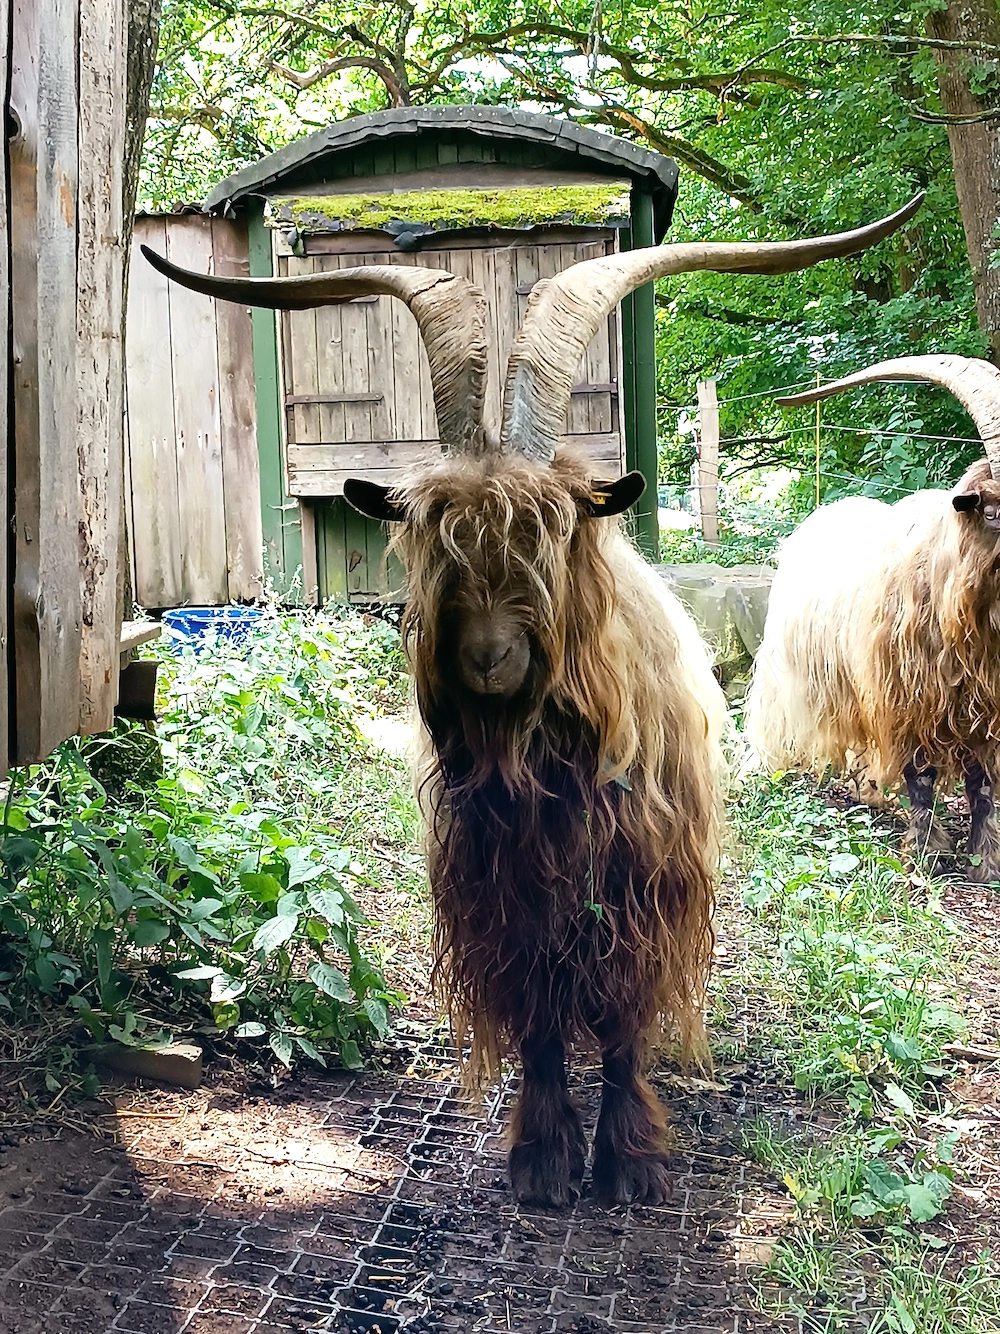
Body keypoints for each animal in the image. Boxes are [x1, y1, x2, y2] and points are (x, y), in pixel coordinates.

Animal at [145, 193, 921, 1207]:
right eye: (435, 536)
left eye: (553, 530)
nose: (487, 659)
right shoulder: (506, 893)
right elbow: (545, 1026)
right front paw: (545, 1158)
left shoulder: (643, 884)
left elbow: (626, 1023)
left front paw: (629, 1161)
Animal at [746, 354, 1000, 880]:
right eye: (992, 511)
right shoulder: (901, 698)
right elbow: (920, 778)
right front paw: (926, 852)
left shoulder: (982, 711)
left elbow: (982, 786)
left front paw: (985, 861)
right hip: (793, 669)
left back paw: (869, 795)